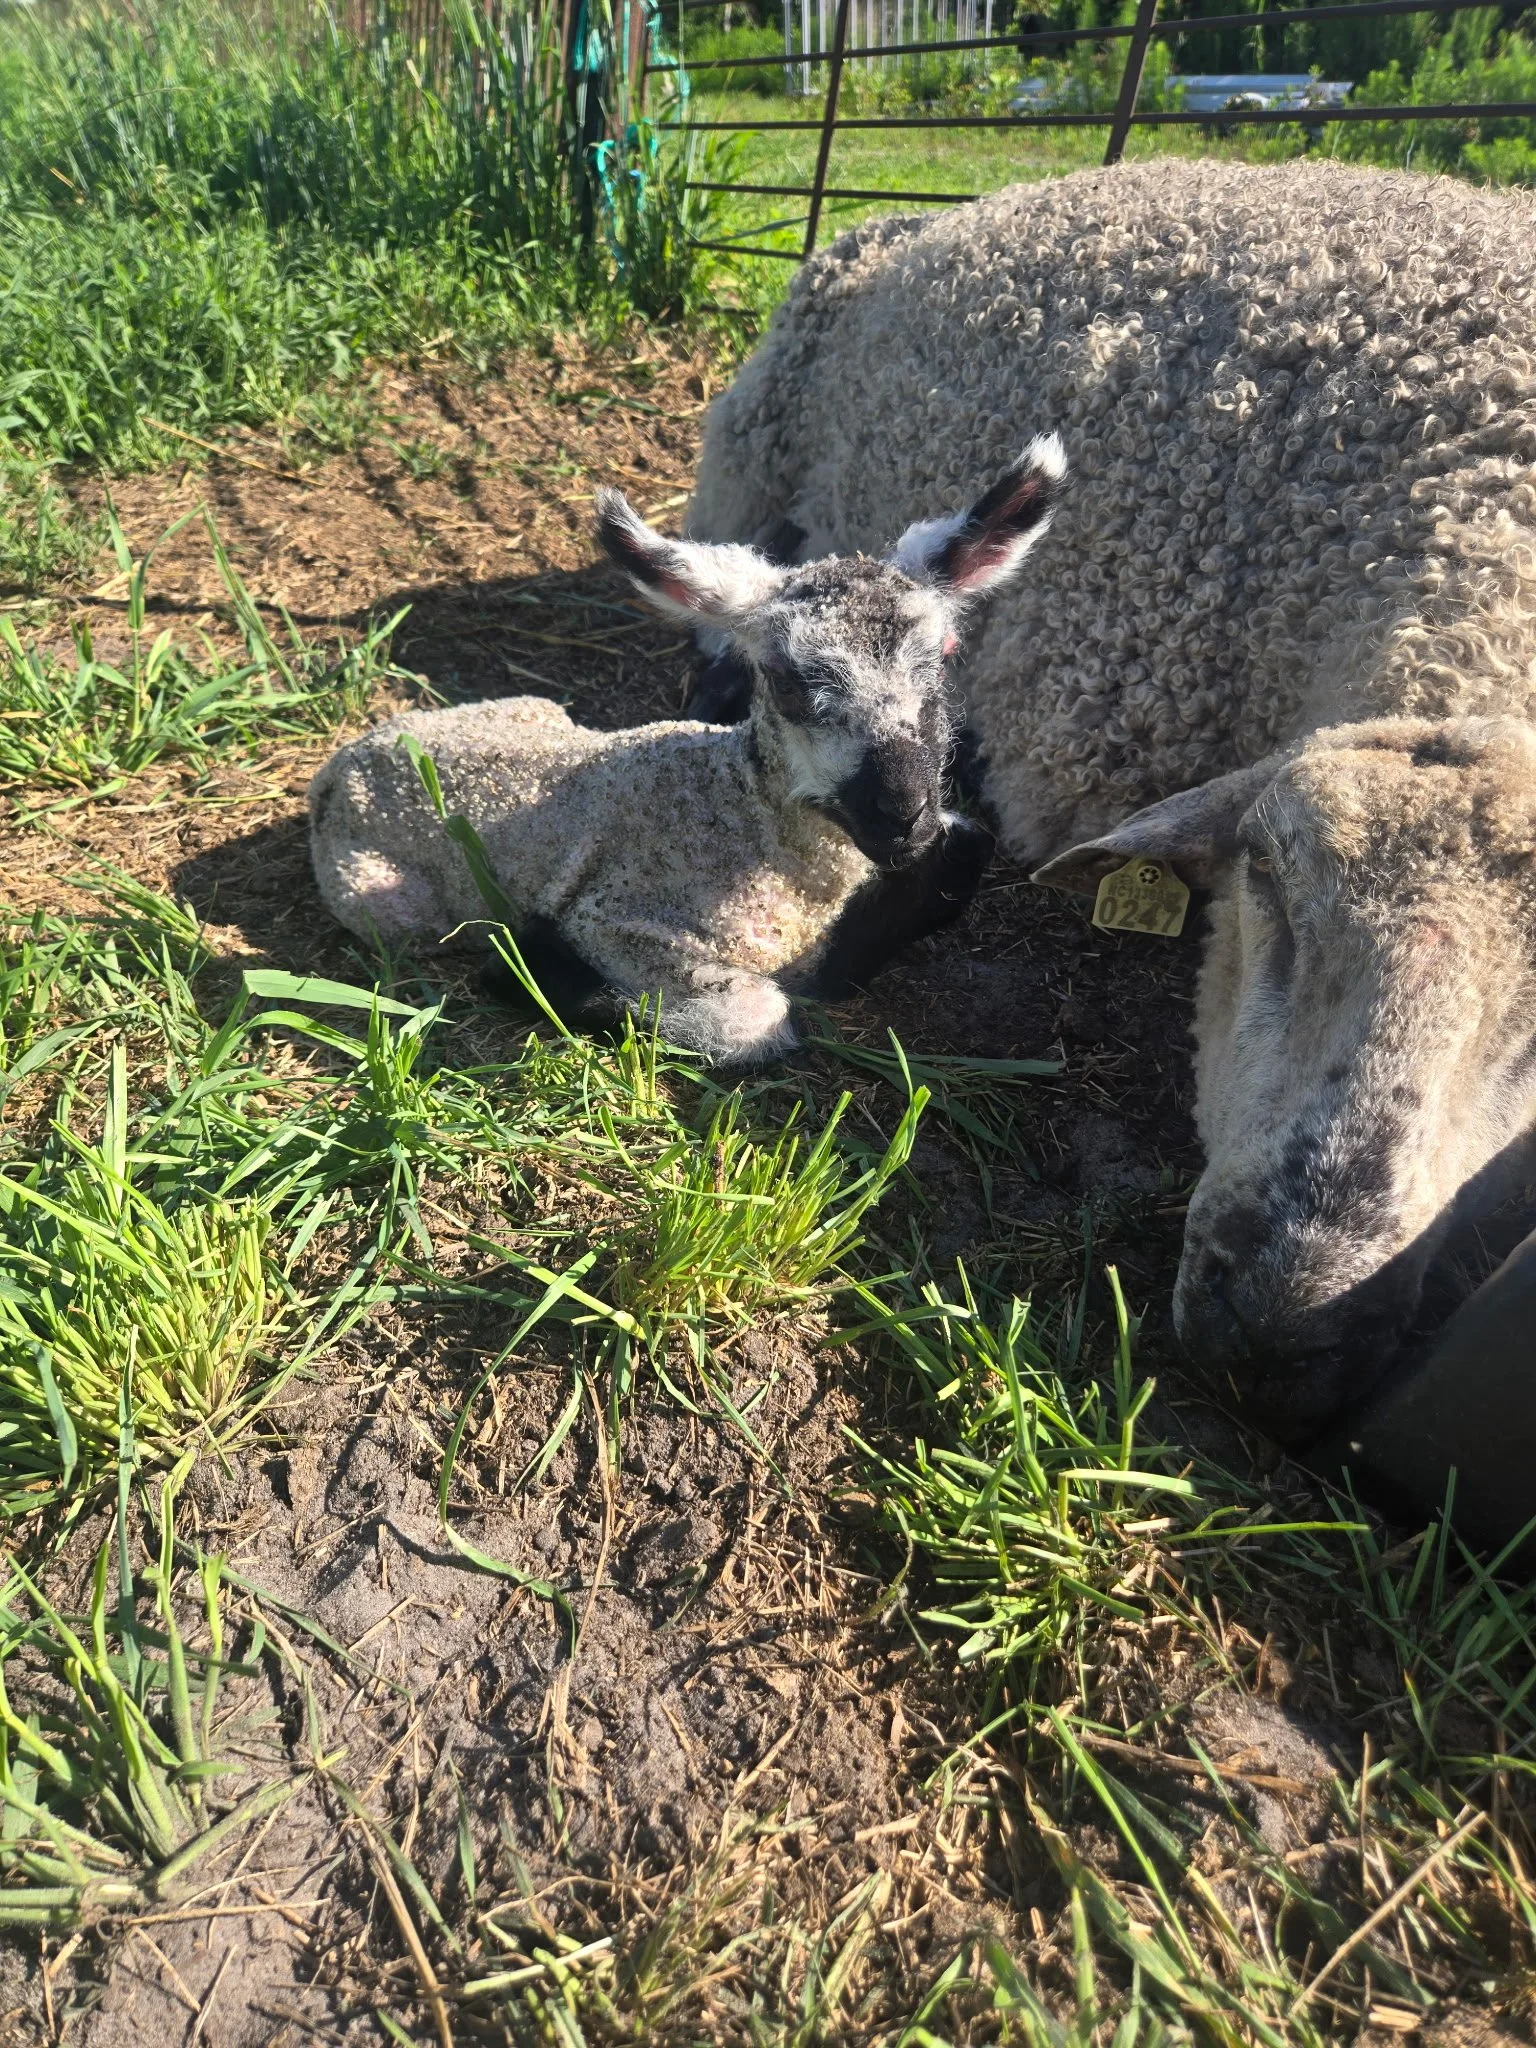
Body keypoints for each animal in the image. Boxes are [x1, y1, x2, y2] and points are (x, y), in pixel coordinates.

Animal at [308, 456, 1063, 1065]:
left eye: (943, 657)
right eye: (787, 681)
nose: (903, 811)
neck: (736, 813)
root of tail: (345, 761)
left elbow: (959, 856)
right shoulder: (615, 918)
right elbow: (756, 1018)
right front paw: (531, 970)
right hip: (377, 894)